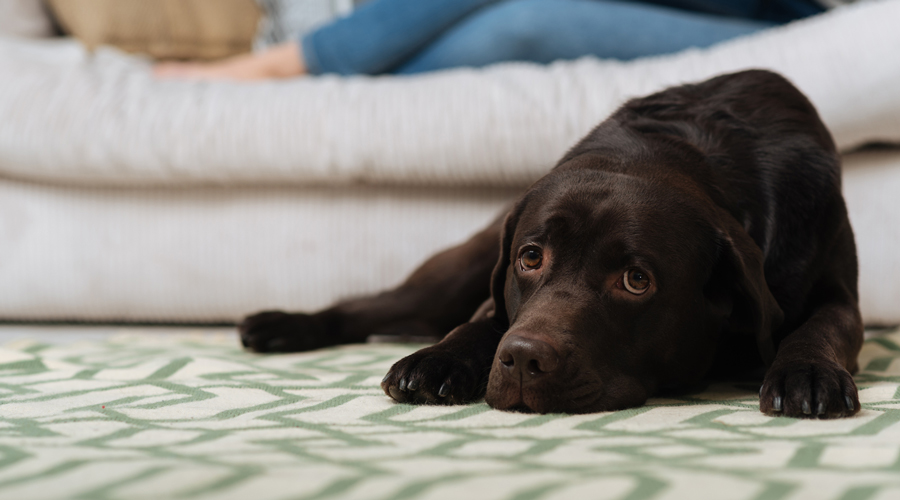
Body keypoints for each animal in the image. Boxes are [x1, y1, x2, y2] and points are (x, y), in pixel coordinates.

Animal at [239, 70, 864, 418]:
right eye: (531, 258)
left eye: (636, 280)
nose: (521, 359)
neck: (692, 153)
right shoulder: (497, 288)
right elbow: (481, 322)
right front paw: (439, 360)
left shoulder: (836, 293)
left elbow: (822, 326)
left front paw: (805, 371)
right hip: (451, 273)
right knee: (369, 305)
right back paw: (284, 325)